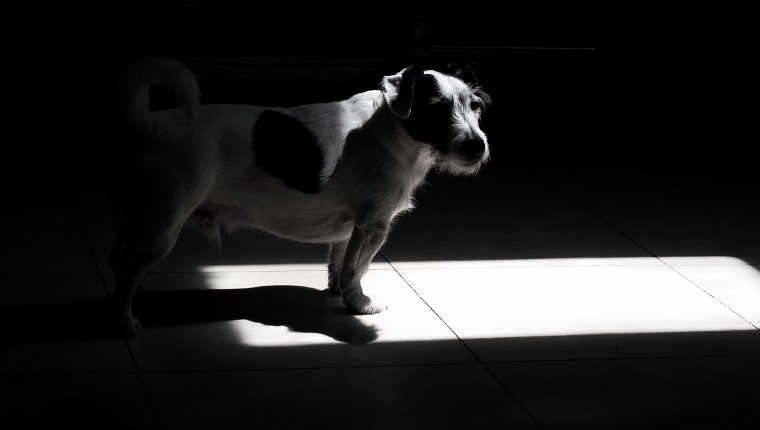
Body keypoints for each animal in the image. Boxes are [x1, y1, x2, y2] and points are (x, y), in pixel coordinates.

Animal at [110, 58, 492, 338]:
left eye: (475, 106)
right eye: (436, 110)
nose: (478, 147)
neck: (392, 128)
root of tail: (148, 125)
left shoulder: (350, 229)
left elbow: (339, 263)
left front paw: (338, 291)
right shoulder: (373, 226)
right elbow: (358, 267)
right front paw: (360, 304)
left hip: (139, 221)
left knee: (121, 261)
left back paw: (141, 297)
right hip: (162, 228)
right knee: (128, 271)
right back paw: (125, 322)